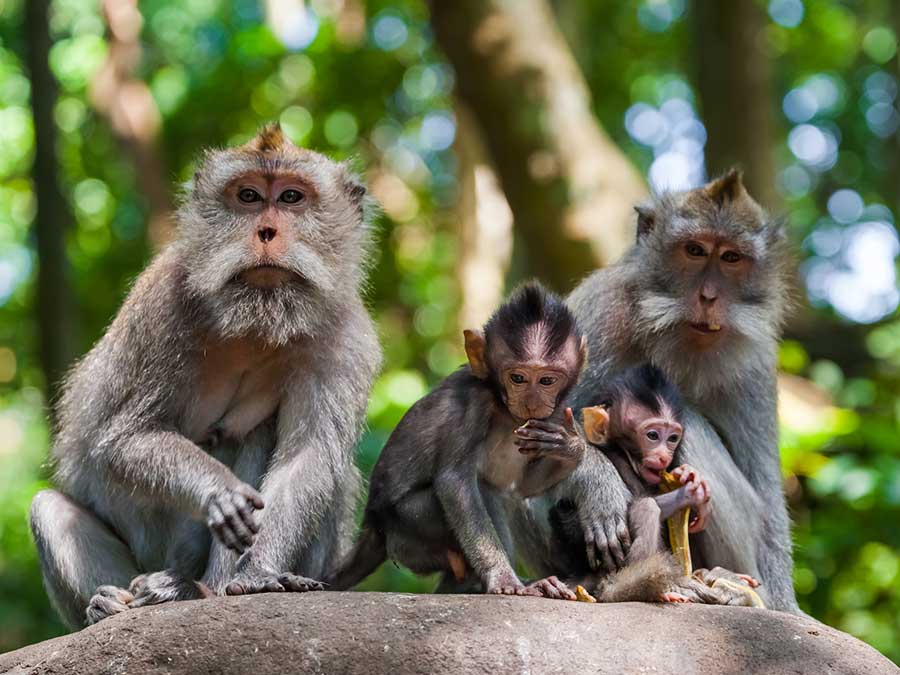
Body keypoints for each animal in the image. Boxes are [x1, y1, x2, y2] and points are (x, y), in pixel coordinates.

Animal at [28, 123, 382, 629]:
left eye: (292, 197)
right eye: (248, 196)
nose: (266, 230)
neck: (256, 320)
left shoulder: (347, 340)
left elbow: (308, 458)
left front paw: (256, 574)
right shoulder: (163, 307)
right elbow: (126, 438)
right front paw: (220, 492)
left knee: (269, 438)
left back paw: (198, 590)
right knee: (51, 510)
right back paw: (111, 603)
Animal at [324, 282, 585, 598]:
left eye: (547, 380)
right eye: (518, 378)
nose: (532, 402)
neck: (502, 407)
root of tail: (374, 526)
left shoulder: (553, 414)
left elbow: (523, 487)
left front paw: (570, 447)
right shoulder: (472, 405)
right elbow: (454, 482)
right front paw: (502, 577)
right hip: (408, 529)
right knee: (482, 490)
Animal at [514, 169, 798, 612]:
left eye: (731, 258)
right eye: (694, 250)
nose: (708, 296)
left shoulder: (757, 359)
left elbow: (766, 496)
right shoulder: (600, 311)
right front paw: (598, 483)